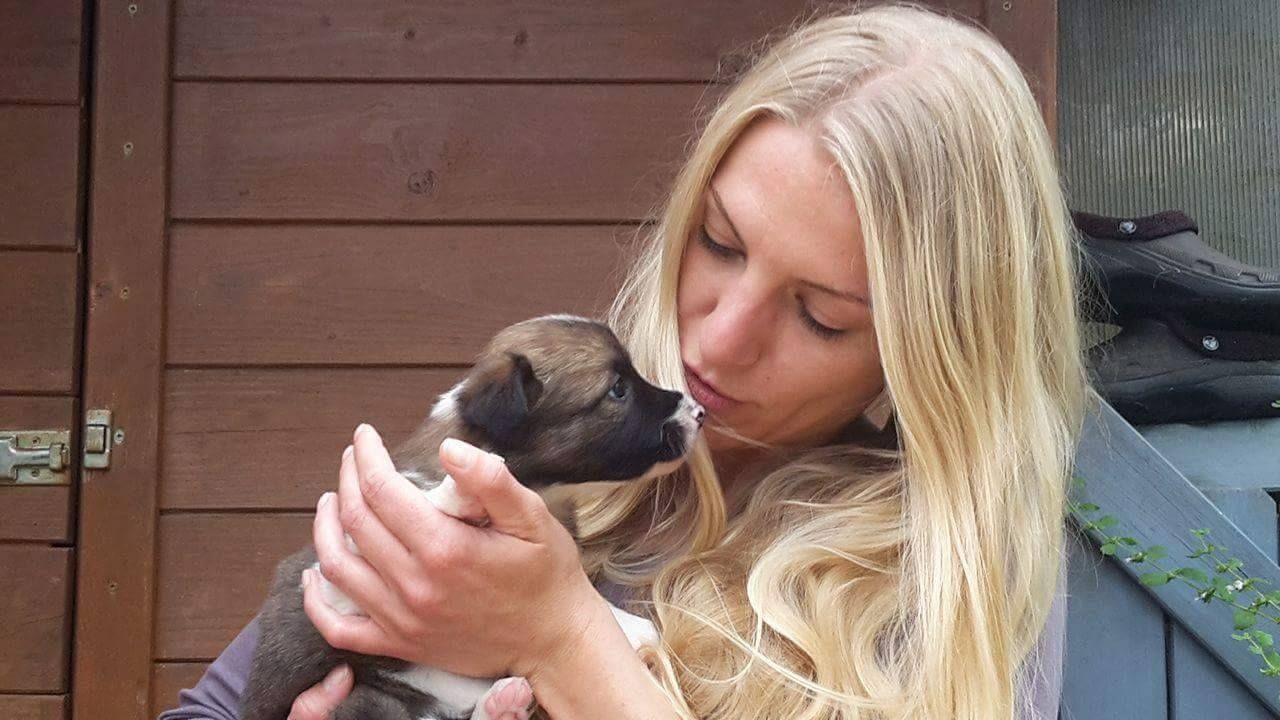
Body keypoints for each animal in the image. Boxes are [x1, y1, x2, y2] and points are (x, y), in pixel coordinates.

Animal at [240, 315, 705, 720]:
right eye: (618, 389)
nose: (698, 412)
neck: (543, 492)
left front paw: (631, 625)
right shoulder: (339, 579)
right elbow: (425, 500)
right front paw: (465, 491)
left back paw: (504, 703)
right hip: (367, 700)